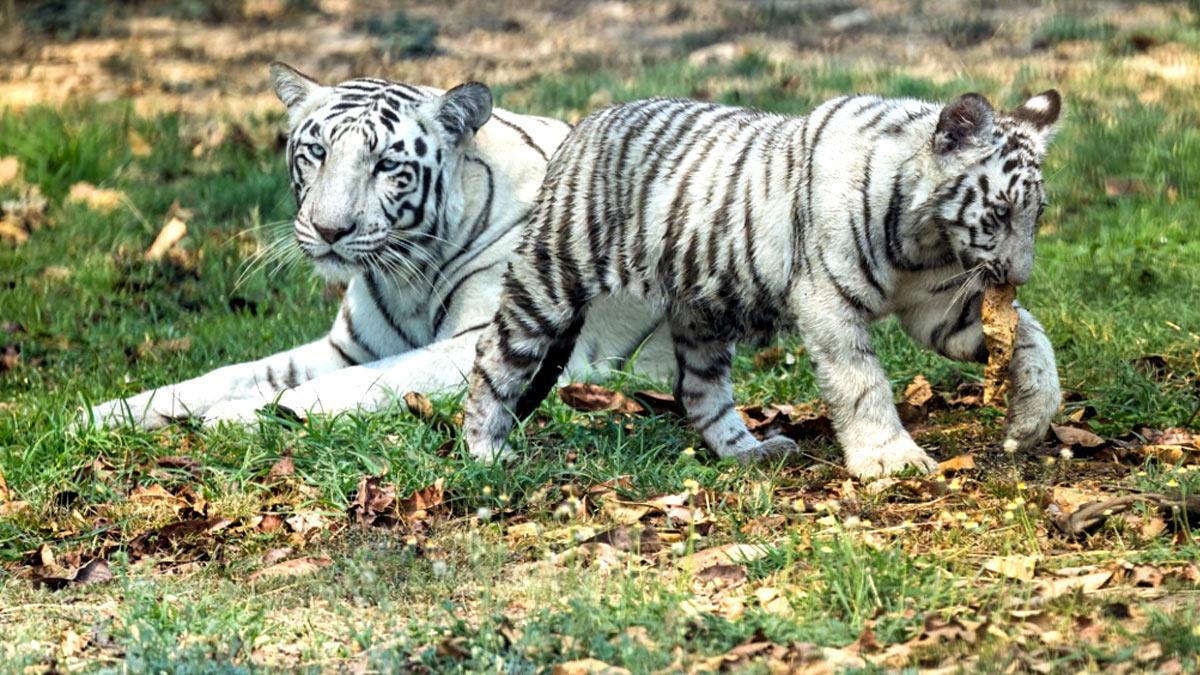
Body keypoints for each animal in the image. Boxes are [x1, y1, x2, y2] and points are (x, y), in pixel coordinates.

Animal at [86, 63, 675, 429]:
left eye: (387, 164)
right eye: (317, 152)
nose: (329, 230)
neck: (409, 274)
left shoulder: (485, 343)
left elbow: (366, 382)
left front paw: (232, 417)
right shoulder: (348, 346)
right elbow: (234, 372)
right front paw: (102, 414)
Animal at [463, 89, 1064, 478]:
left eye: (1035, 216)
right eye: (1000, 213)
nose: (1020, 275)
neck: (924, 242)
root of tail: (585, 124)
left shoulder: (937, 310)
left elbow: (1031, 336)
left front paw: (1032, 417)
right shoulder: (827, 302)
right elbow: (863, 383)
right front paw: (890, 459)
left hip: (701, 312)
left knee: (698, 390)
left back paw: (748, 451)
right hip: (553, 275)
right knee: (495, 353)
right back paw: (484, 451)